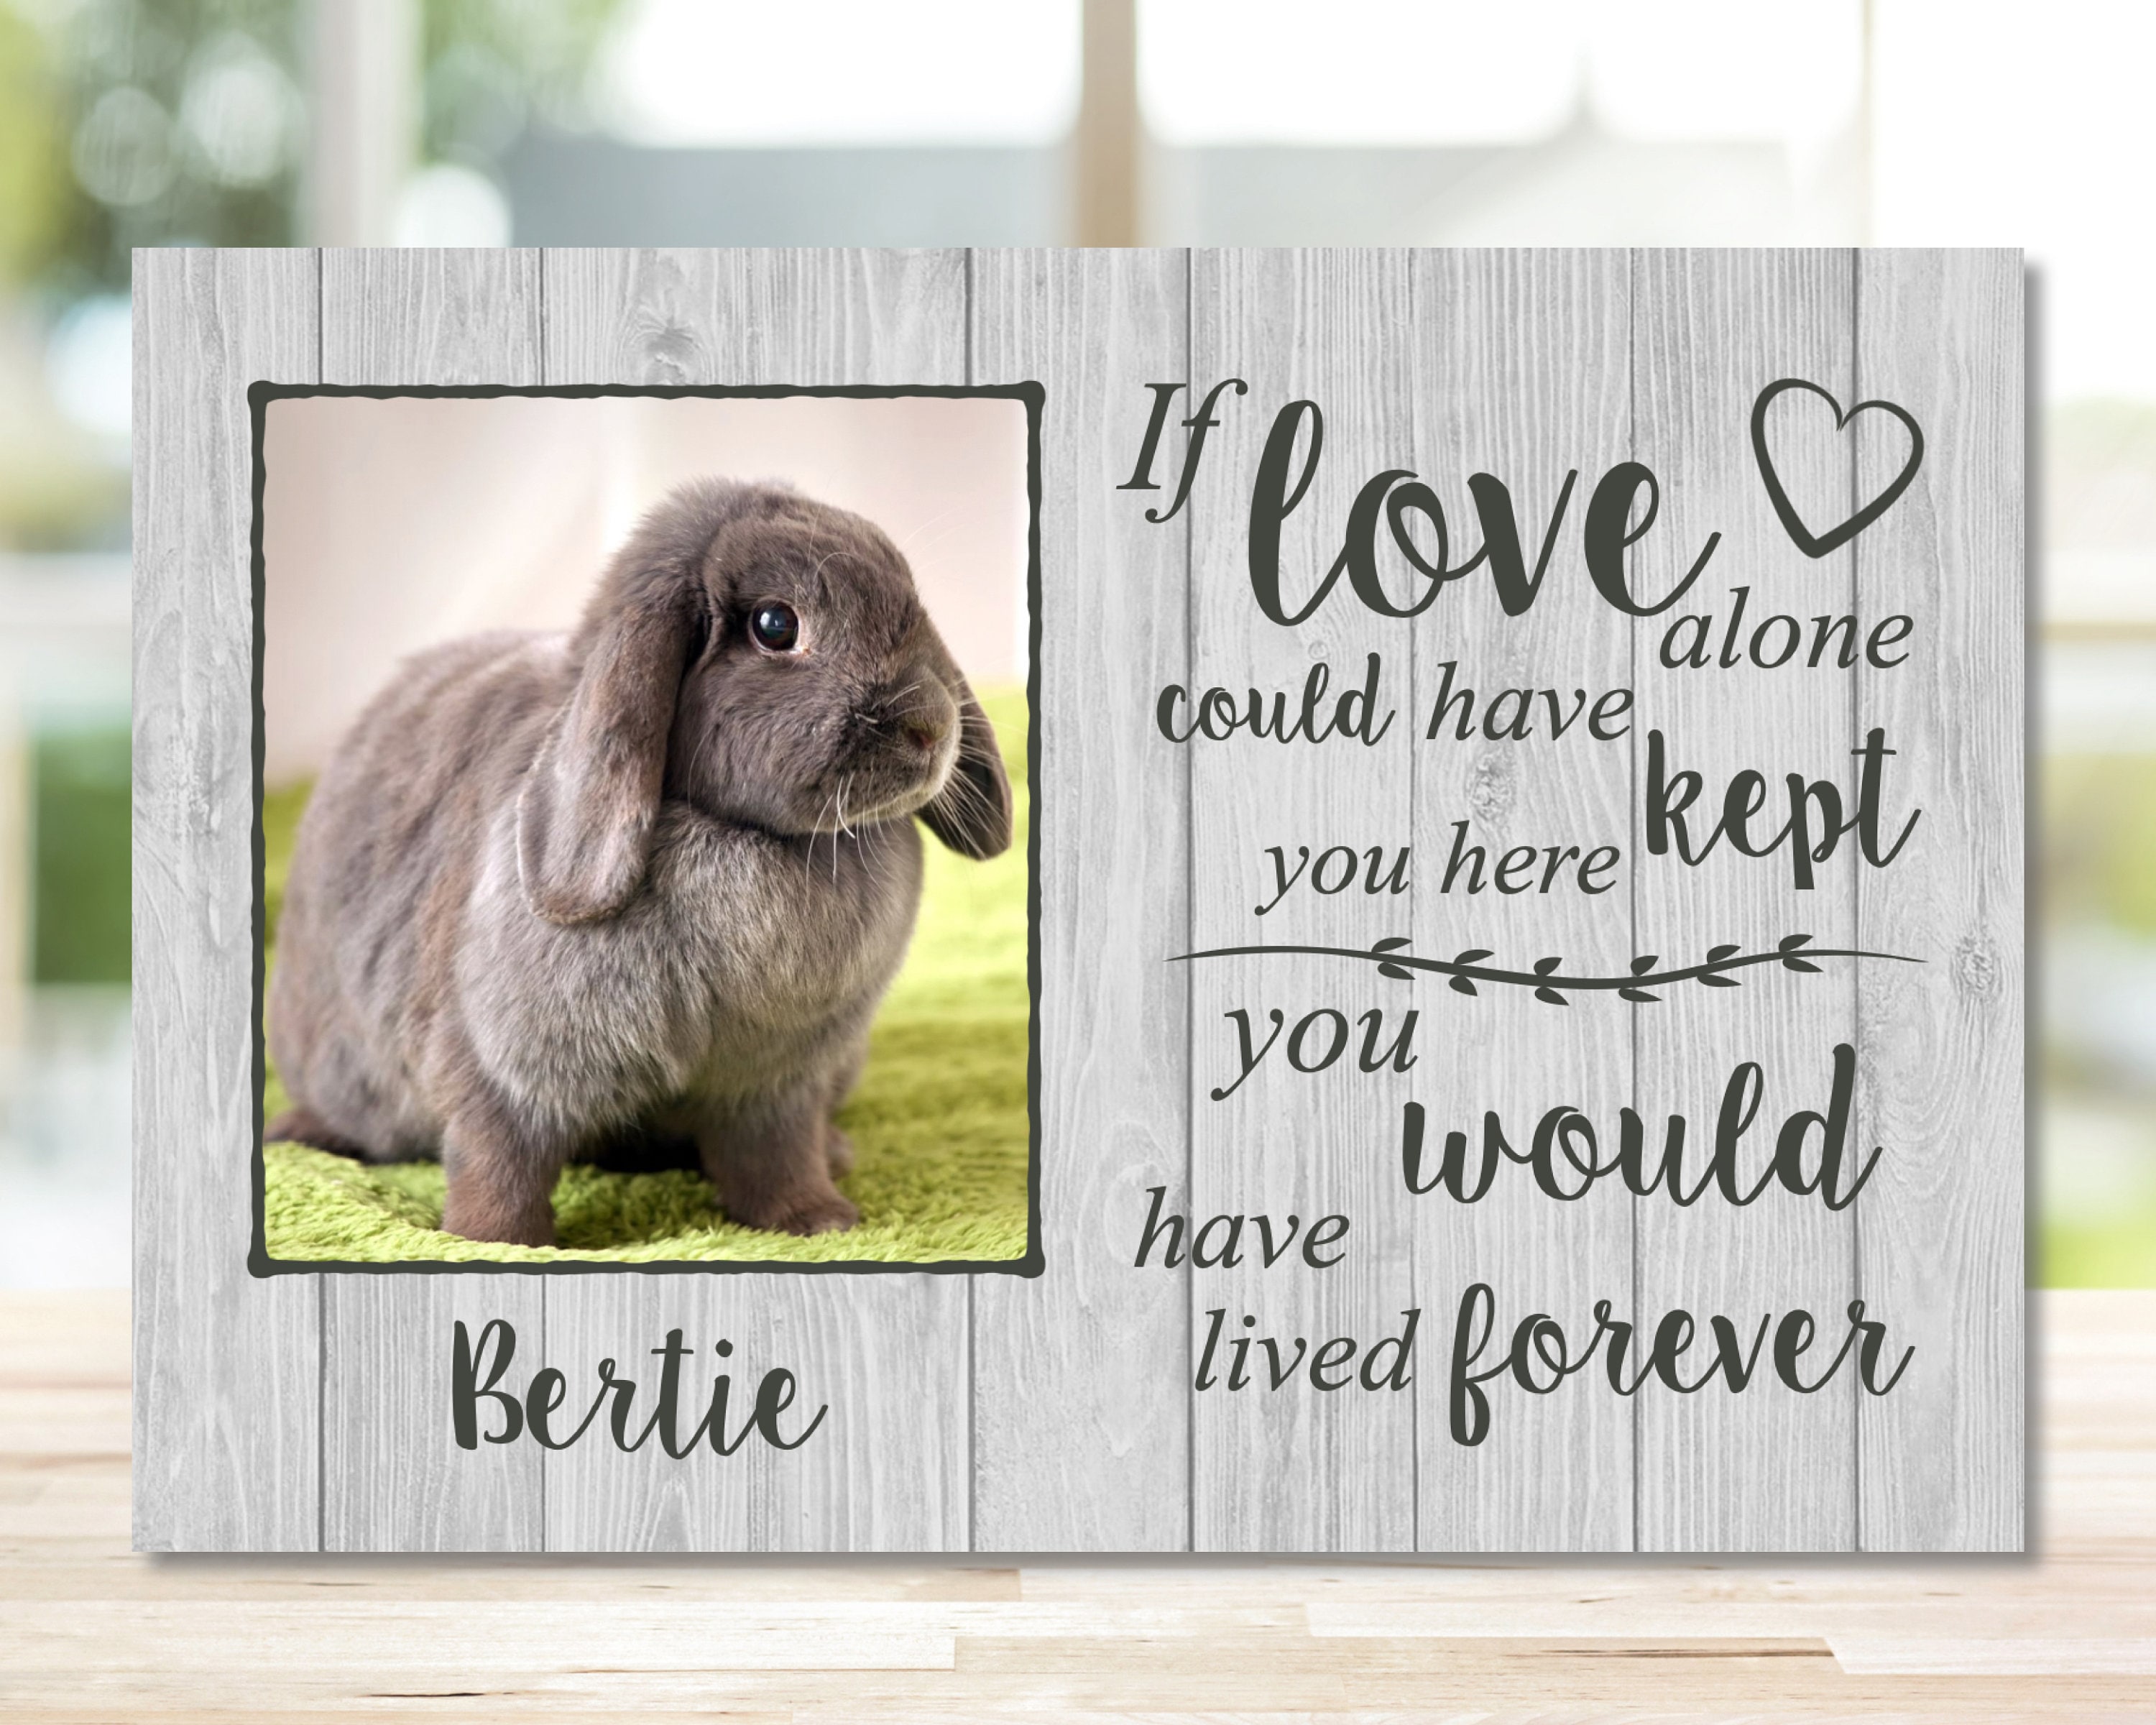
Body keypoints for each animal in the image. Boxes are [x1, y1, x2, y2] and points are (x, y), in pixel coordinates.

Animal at [265, 478, 1013, 1247]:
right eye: (776, 625)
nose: (931, 729)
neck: (749, 836)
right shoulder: (504, 1074)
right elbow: (499, 1160)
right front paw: (495, 1242)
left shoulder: (776, 1086)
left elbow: (775, 1158)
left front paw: (817, 1221)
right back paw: (301, 1131)